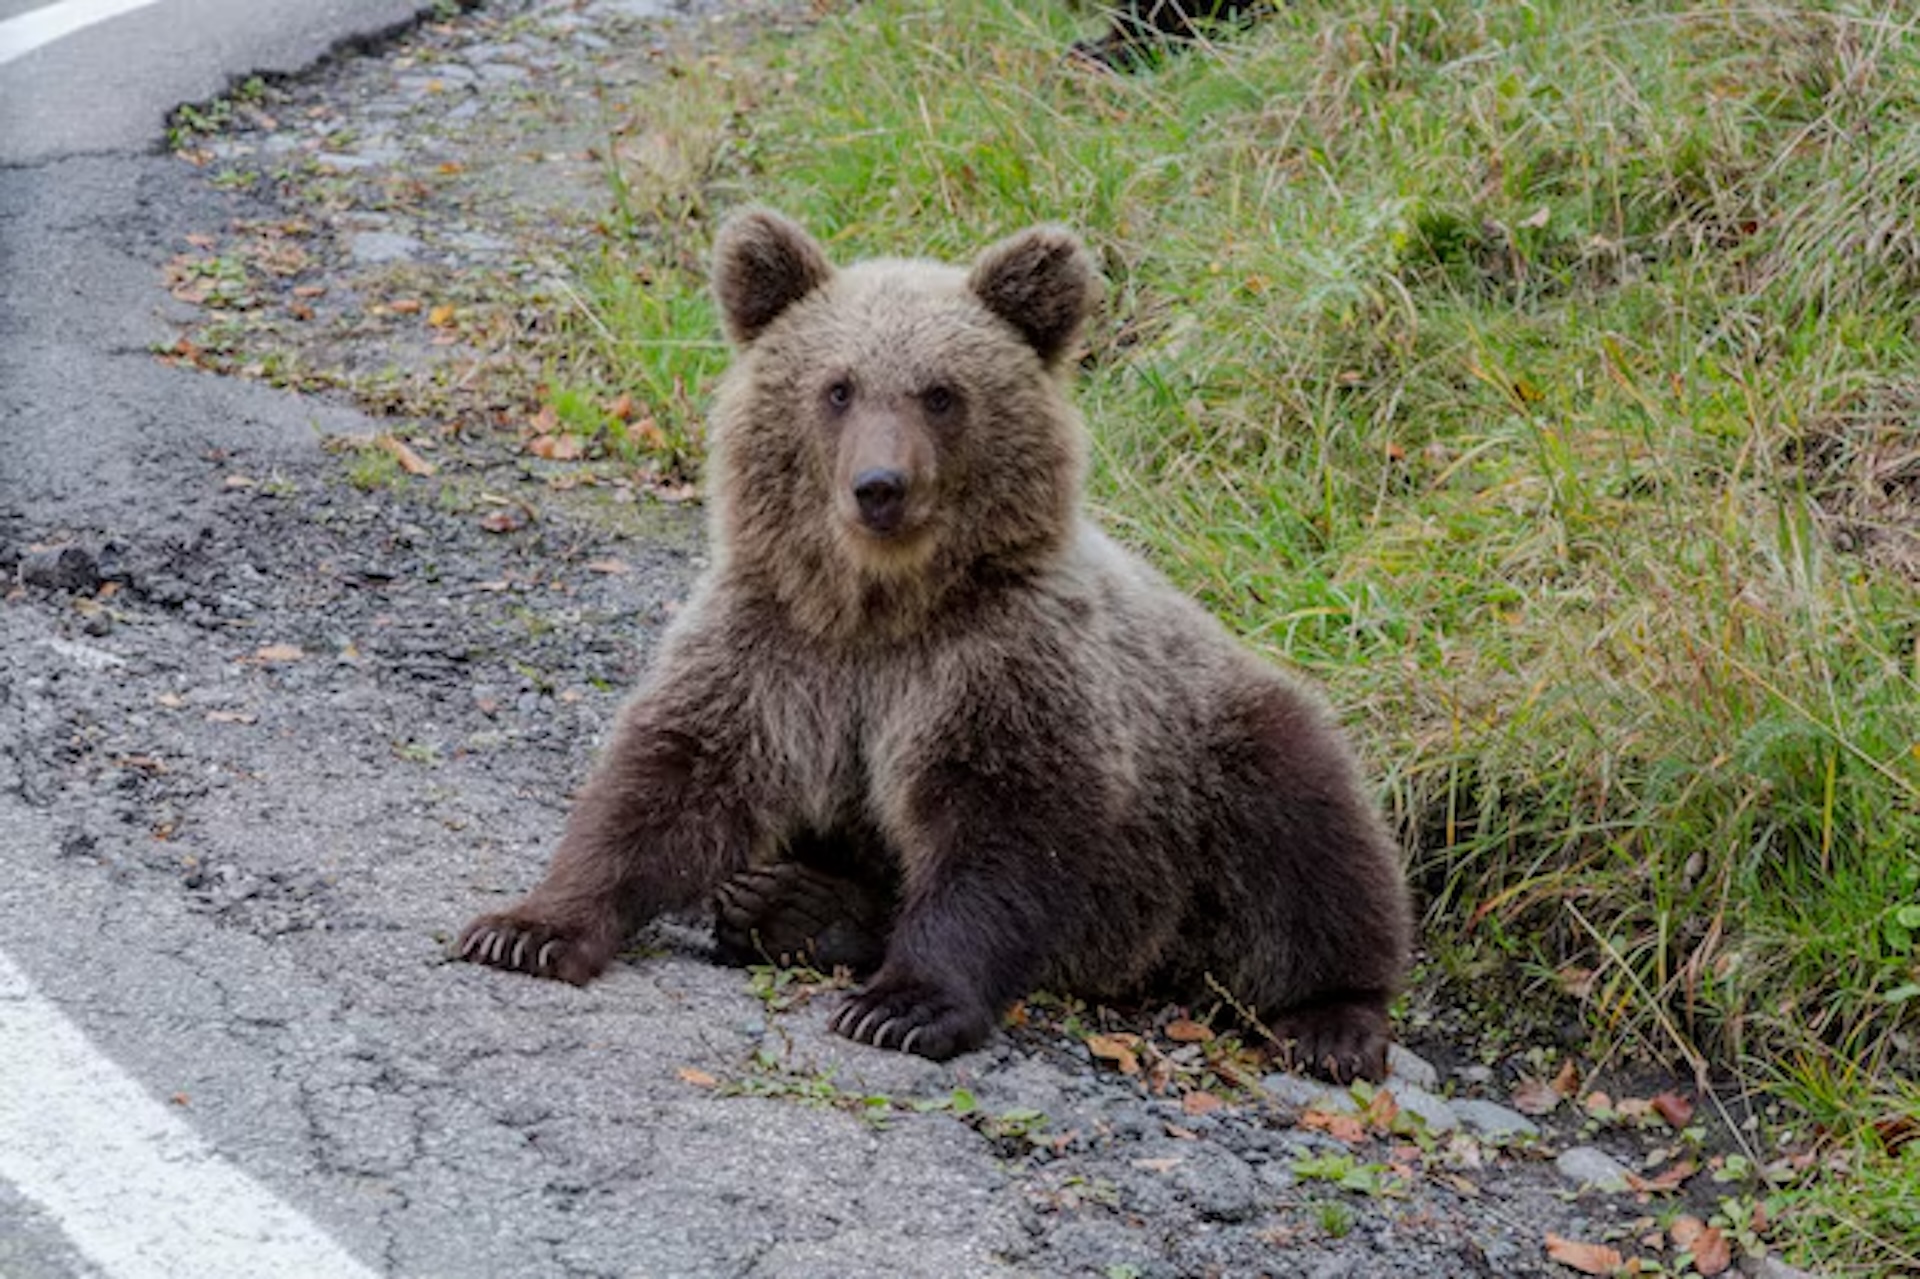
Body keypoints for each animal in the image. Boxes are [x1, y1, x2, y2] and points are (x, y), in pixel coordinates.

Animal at [456, 209, 1412, 1081]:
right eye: (838, 387)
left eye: (942, 392)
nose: (881, 485)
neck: (882, 608)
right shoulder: (776, 649)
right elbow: (665, 779)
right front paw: (528, 927)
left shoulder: (1003, 663)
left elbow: (1001, 832)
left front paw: (904, 1005)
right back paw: (795, 904)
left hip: (1217, 753)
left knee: (1311, 847)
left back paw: (1332, 1021)